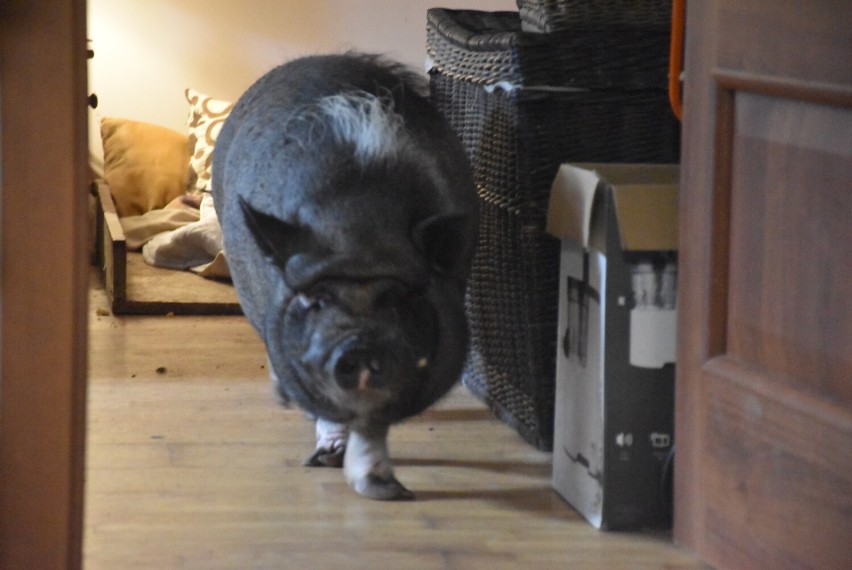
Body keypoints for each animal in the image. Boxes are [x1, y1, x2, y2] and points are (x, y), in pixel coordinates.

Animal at [211, 53, 480, 496]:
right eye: (317, 299)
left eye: (397, 298)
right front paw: (328, 458)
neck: (357, 226)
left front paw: (384, 487)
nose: (358, 346)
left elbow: (374, 420)